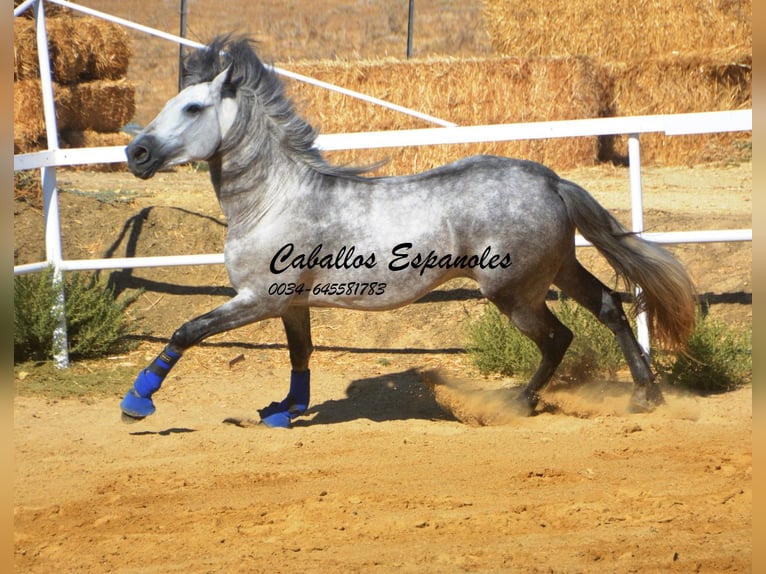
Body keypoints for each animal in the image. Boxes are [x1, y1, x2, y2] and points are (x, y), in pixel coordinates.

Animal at [118, 36, 696, 430]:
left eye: (192, 107)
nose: (135, 153)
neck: (273, 200)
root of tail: (551, 180)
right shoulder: (290, 303)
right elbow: (300, 355)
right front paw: (285, 410)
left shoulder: (258, 298)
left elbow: (186, 331)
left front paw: (137, 403)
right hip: (557, 269)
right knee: (609, 306)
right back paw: (645, 395)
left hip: (513, 291)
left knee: (560, 337)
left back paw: (516, 403)